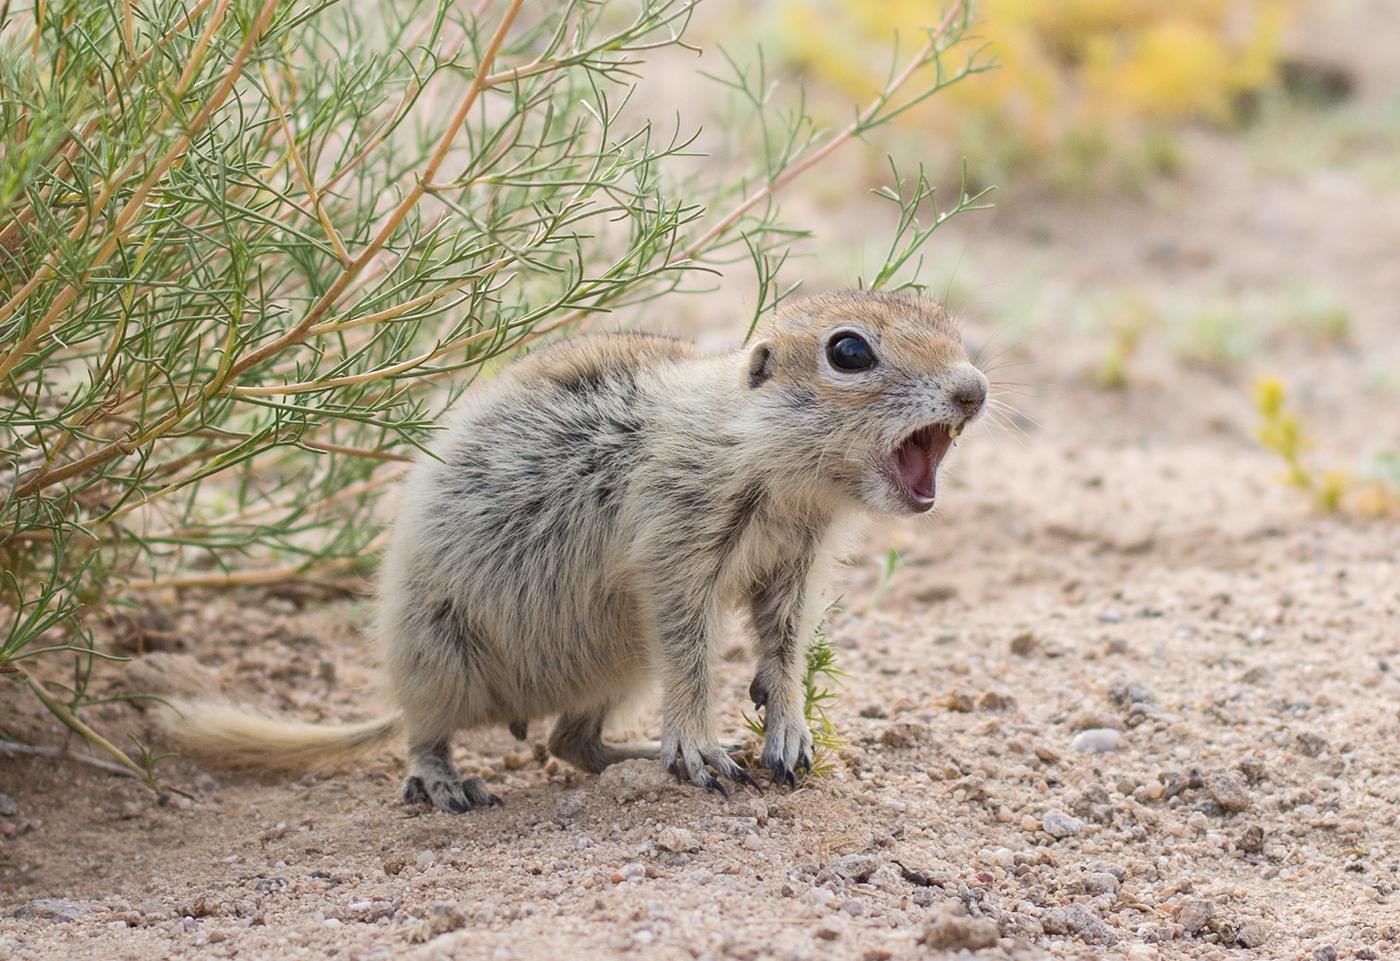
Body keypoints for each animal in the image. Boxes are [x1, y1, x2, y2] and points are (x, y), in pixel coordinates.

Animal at [169, 291, 991, 812]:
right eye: (849, 351)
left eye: (951, 325)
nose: (975, 390)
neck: (772, 464)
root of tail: (512, 707)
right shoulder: (675, 544)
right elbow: (690, 651)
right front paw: (698, 743)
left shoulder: (797, 563)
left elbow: (784, 646)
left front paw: (784, 730)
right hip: (439, 649)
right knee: (423, 732)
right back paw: (447, 783)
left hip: (615, 667)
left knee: (572, 745)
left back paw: (649, 755)